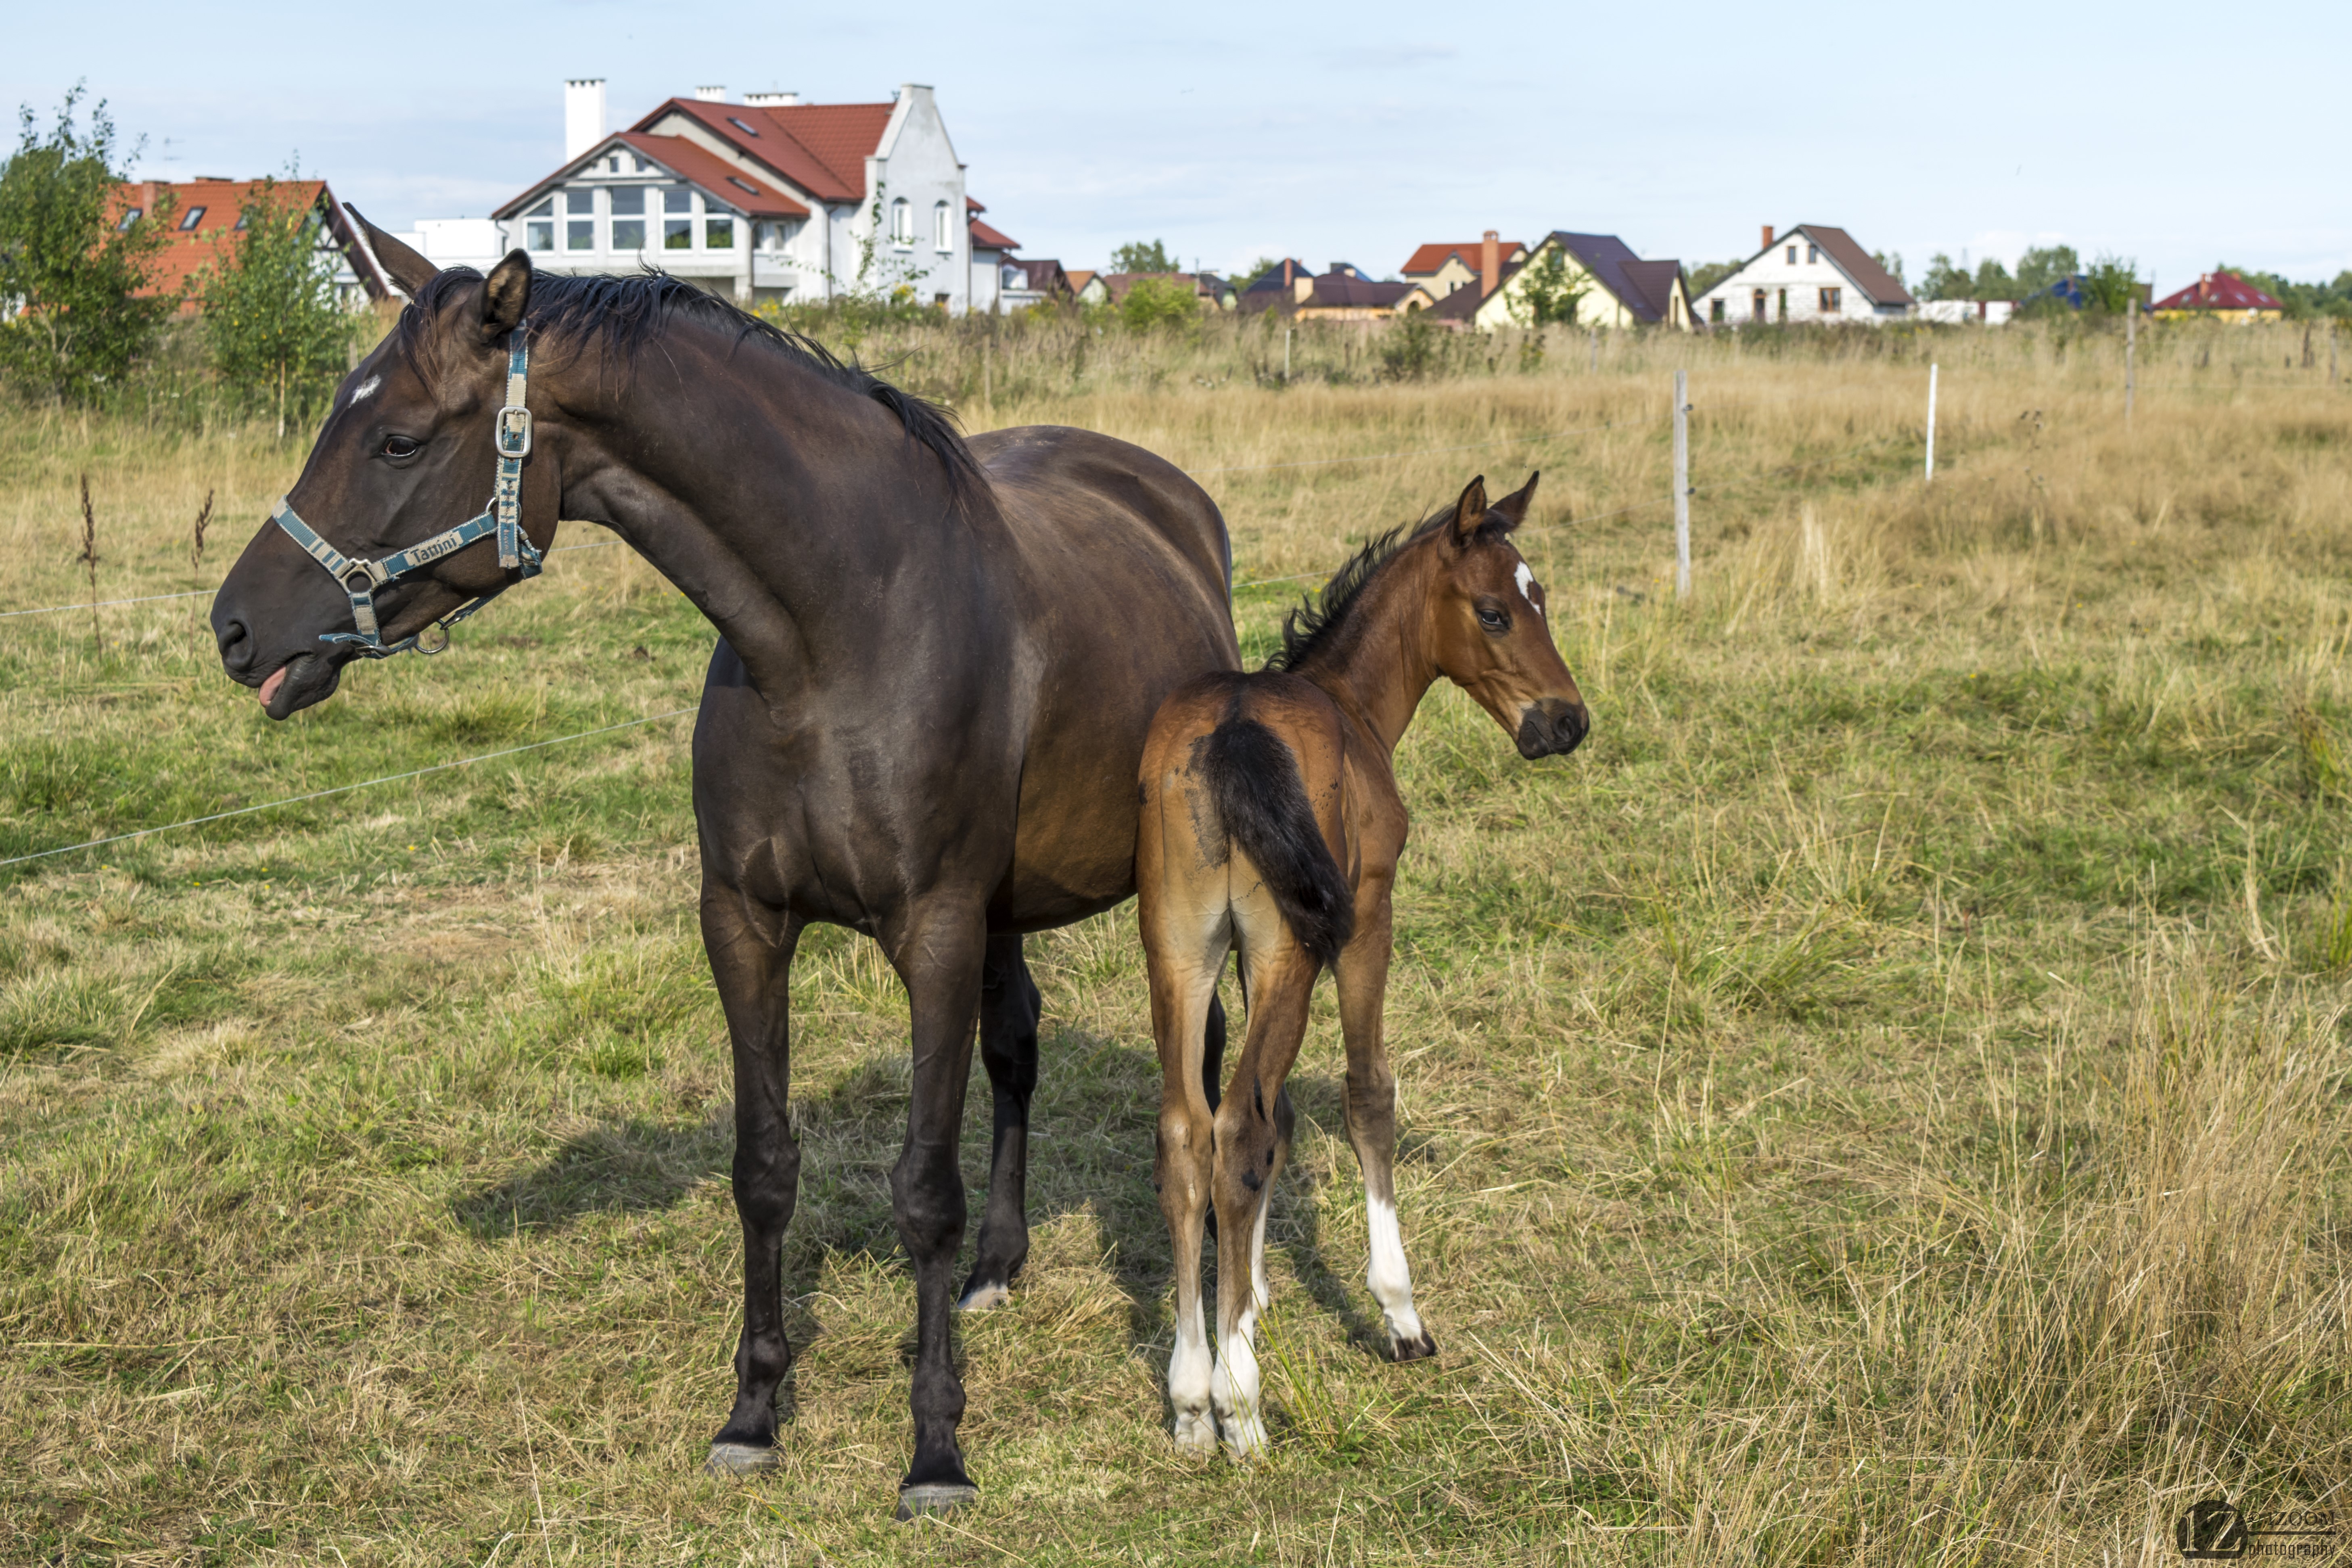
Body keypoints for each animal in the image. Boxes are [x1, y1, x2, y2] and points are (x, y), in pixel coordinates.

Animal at [207, 230, 1240, 1516]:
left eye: (396, 438)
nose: (234, 628)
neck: (834, 632)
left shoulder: (936, 931)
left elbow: (923, 1189)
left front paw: (934, 1448)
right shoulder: (744, 922)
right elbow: (762, 1169)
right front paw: (753, 1413)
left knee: (1195, 1057)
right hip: (1007, 909)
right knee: (1016, 1047)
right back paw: (1000, 1267)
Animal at [1134, 473, 1586, 1457]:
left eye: (1542, 598)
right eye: (1494, 611)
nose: (1566, 722)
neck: (1344, 699)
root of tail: (1230, 732)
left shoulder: (1244, 952)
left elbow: (1278, 1112)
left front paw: (1251, 1293)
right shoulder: (1365, 915)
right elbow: (1364, 1091)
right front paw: (1399, 1311)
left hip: (1179, 951)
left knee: (1191, 1132)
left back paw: (1190, 1397)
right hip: (1290, 947)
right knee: (1235, 1128)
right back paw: (1240, 1405)